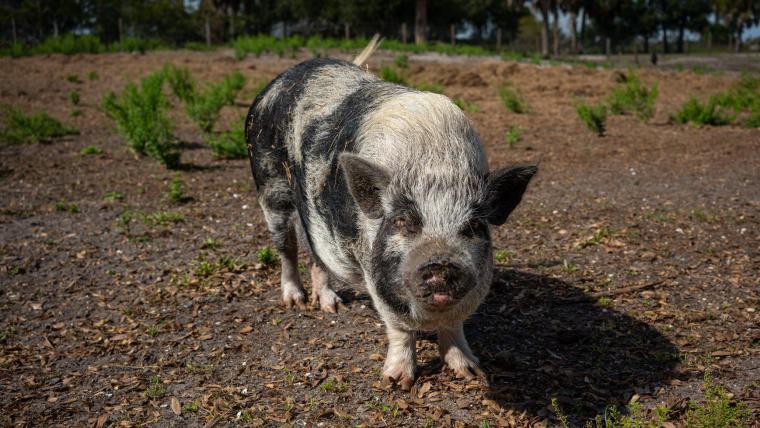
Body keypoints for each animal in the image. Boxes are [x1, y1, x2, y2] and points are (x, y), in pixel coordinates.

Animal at [246, 44, 536, 392]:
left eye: (473, 226)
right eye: (402, 221)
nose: (441, 261)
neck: (435, 167)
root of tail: (277, 82)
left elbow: (454, 325)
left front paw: (471, 372)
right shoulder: (375, 271)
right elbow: (399, 327)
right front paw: (397, 382)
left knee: (317, 254)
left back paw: (331, 305)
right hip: (270, 185)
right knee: (286, 246)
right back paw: (297, 303)